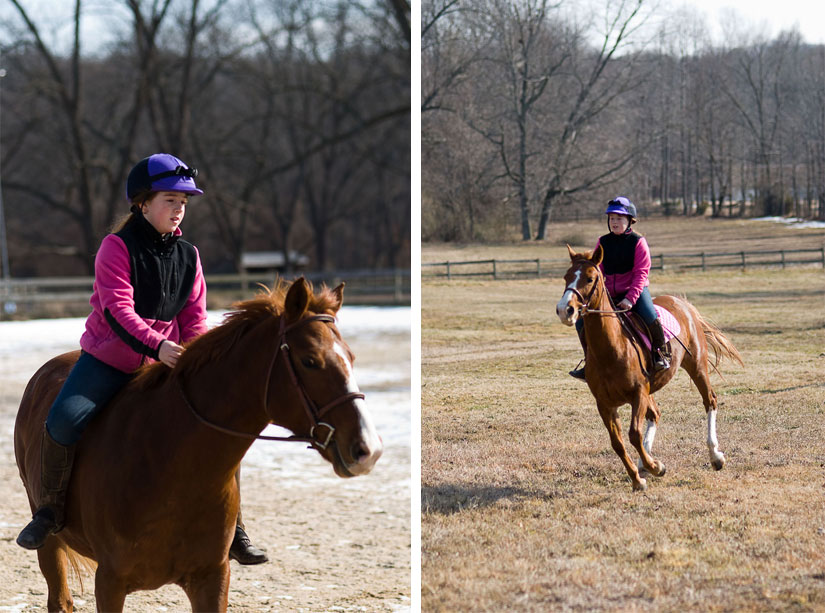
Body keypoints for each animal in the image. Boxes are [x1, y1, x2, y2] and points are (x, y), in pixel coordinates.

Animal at [15, 278, 384, 612]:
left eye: (351, 357)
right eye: (309, 361)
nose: (369, 448)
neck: (168, 463)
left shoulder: (211, 579)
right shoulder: (110, 582)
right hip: (49, 541)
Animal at [552, 246, 740, 490]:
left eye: (590, 278)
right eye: (566, 277)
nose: (564, 310)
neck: (611, 349)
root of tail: (682, 303)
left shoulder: (638, 393)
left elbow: (634, 434)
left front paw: (655, 467)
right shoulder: (604, 404)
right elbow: (618, 443)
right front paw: (638, 478)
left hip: (697, 367)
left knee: (710, 401)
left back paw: (715, 456)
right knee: (655, 414)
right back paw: (645, 463)